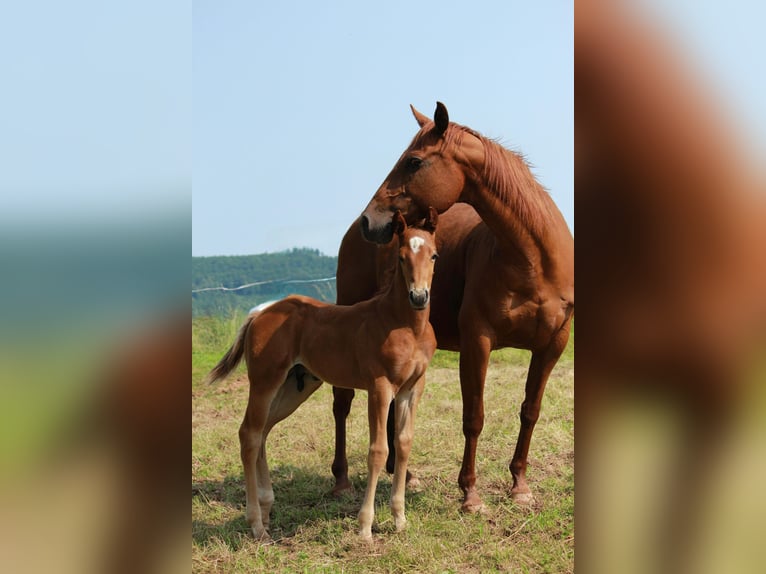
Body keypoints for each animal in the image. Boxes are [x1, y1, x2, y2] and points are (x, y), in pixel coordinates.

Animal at [205, 210, 439, 540]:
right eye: (402, 257)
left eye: (434, 255)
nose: (419, 297)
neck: (404, 324)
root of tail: (260, 313)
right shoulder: (379, 387)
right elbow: (378, 449)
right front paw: (365, 527)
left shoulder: (412, 388)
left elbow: (404, 443)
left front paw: (400, 520)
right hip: (264, 382)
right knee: (249, 434)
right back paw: (256, 524)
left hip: (293, 387)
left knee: (263, 431)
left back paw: (266, 508)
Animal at [331, 103, 574, 512]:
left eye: (413, 161)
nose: (371, 220)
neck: (533, 260)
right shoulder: (477, 342)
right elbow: (473, 416)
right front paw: (471, 494)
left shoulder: (551, 346)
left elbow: (530, 411)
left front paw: (519, 486)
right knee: (342, 401)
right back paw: (342, 480)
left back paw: (403, 474)